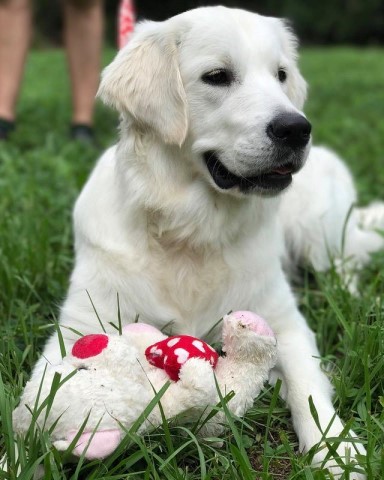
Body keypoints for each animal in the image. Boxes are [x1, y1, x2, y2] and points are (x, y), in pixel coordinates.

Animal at [27, 5, 384, 478]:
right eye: (217, 76)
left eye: (281, 75)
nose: (297, 128)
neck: (190, 233)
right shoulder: (79, 325)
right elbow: (38, 400)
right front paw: (19, 458)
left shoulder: (285, 322)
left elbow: (308, 389)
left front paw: (336, 453)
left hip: (318, 232)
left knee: (346, 265)